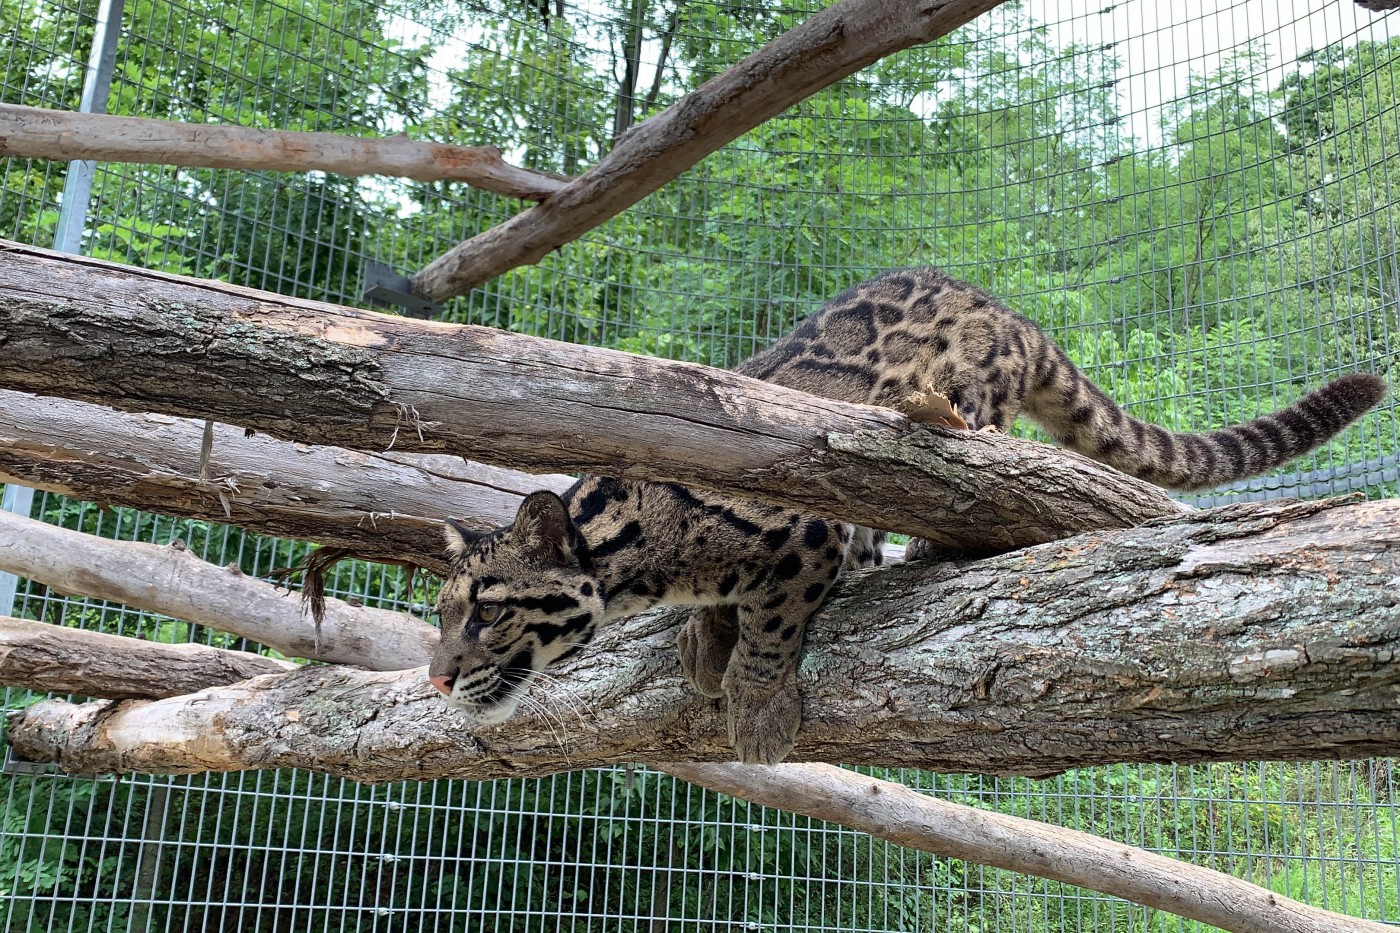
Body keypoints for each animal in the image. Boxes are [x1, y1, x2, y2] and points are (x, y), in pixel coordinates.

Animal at [428, 261, 1388, 762]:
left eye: (487, 611)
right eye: (439, 615)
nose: (436, 678)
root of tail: (1009, 313)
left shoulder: (803, 523)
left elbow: (775, 620)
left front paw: (755, 702)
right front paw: (704, 637)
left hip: (970, 402)